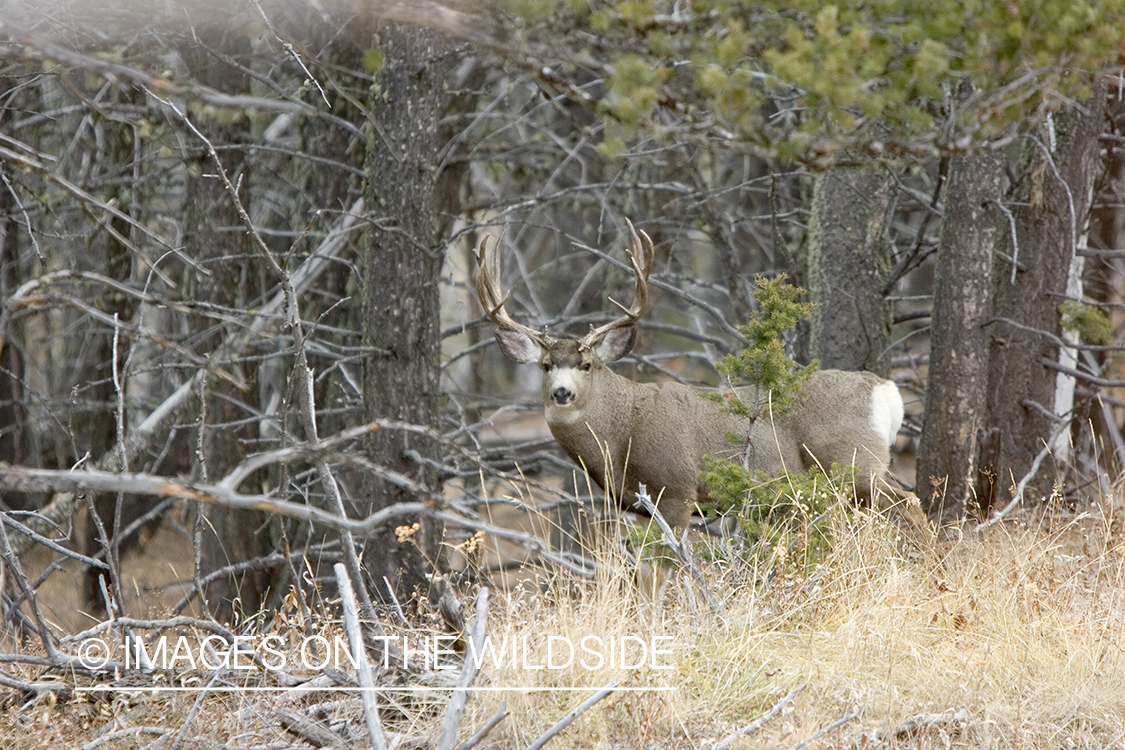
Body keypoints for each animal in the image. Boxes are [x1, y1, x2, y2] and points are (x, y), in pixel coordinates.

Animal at [475, 221, 909, 531]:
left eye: (587, 365)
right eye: (546, 366)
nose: (562, 393)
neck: (622, 434)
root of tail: (885, 390)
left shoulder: (676, 490)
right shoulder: (641, 507)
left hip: (854, 461)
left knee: (909, 504)